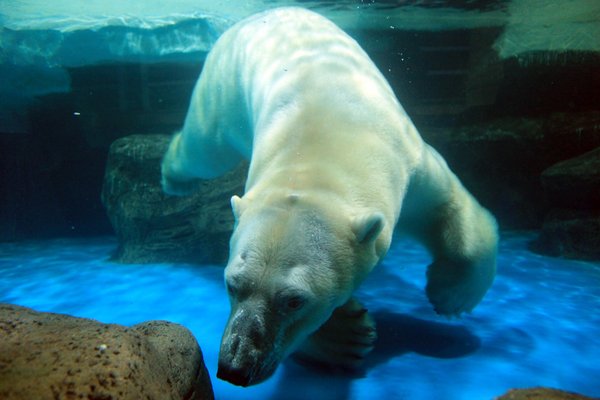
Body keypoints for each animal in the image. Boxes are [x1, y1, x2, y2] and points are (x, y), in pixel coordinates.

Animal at [162, 7, 500, 388]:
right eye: (232, 284)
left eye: (294, 301)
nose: (235, 367)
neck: (320, 143)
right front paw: (348, 335)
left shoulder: (409, 160)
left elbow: (448, 204)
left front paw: (451, 296)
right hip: (224, 92)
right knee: (203, 149)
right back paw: (174, 179)